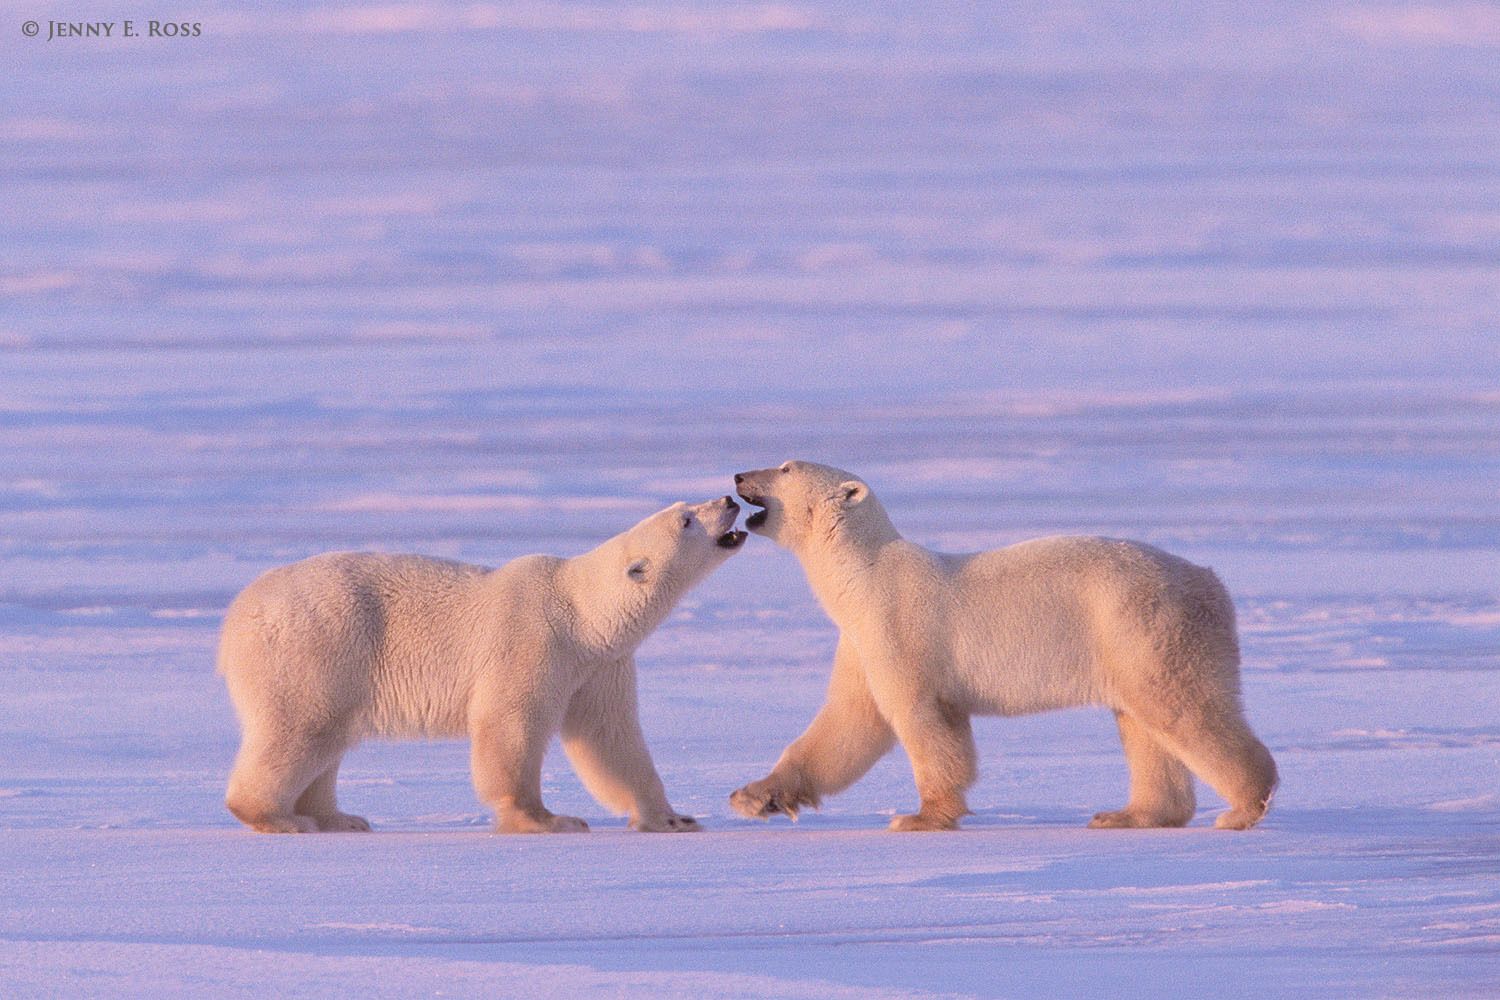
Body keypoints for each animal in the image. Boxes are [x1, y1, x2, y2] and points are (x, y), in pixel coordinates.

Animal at [219, 495, 746, 834]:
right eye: (686, 520)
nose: (729, 498)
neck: (581, 613)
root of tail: (235, 617)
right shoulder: (534, 641)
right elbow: (510, 724)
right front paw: (548, 819)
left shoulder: (599, 666)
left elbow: (611, 740)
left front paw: (673, 818)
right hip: (318, 643)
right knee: (303, 726)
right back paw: (280, 817)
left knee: (329, 739)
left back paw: (339, 818)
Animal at [728, 461, 1277, 832]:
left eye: (785, 466)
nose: (737, 476)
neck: (863, 576)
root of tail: (1209, 582)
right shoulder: (861, 643)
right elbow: (848, 722)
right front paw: (753, 796)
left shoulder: (900, 628)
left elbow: (920, 720)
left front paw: (921, 817)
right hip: (1131, 642)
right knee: (1143, 724)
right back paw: (1127, 814)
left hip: (1145, 627)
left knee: (1180, 708)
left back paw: (1242, 806)